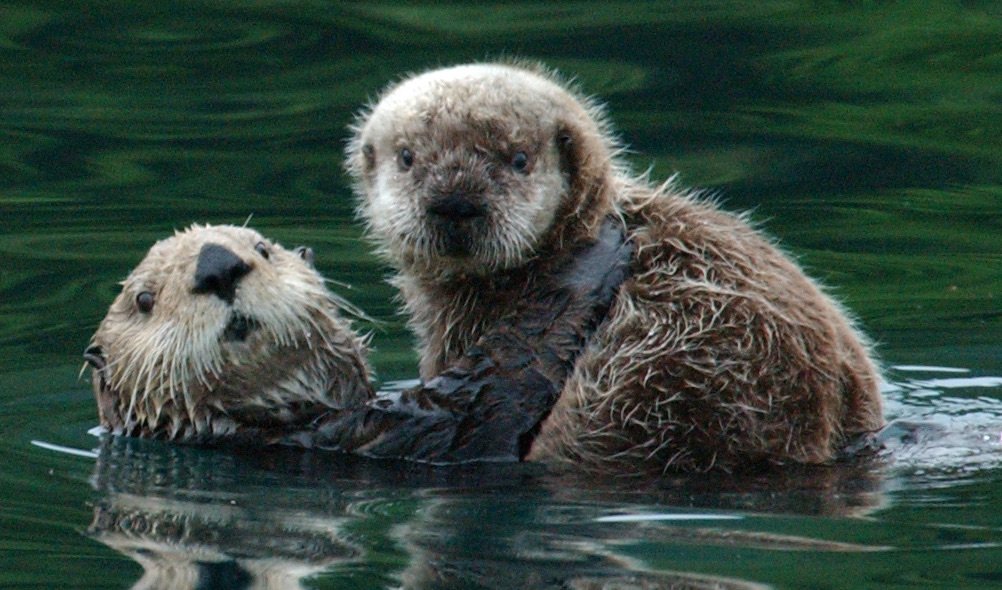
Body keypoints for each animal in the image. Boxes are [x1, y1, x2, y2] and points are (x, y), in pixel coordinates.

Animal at [85, 223, 630, 462]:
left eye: (262, 248)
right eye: (145, 299)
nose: (218, 265)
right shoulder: (389, 432)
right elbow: (499, 381)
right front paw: (597, 250)